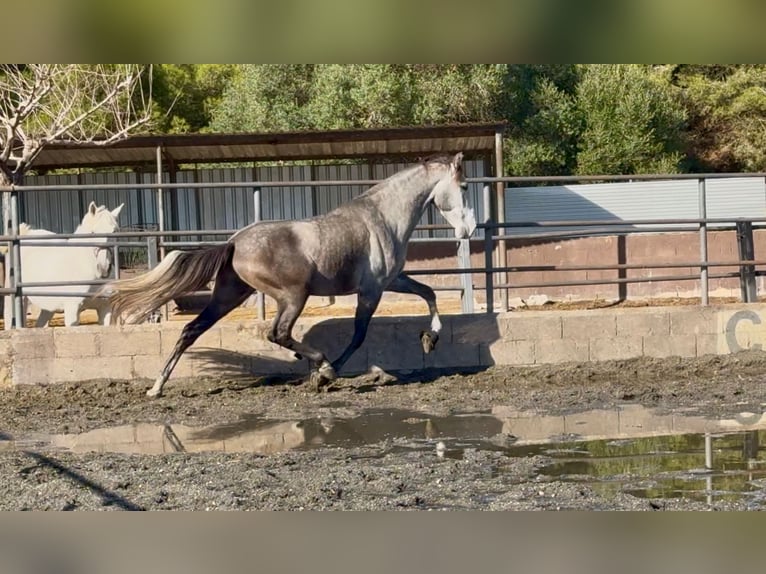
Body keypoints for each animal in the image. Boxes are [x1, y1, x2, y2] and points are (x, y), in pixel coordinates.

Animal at [103, 152, 476, 398]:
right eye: (465, 187)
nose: (469, 229)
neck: (382, 218)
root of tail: (234, 242)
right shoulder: (371, 290)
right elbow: (358, 335)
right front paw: (325, 375)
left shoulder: (392, 280)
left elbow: (428, 293)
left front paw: (430, 338)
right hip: (293, 295)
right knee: (277, 333)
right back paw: (320, 363)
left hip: (229, 295)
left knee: (191, 330)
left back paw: (157, 387)